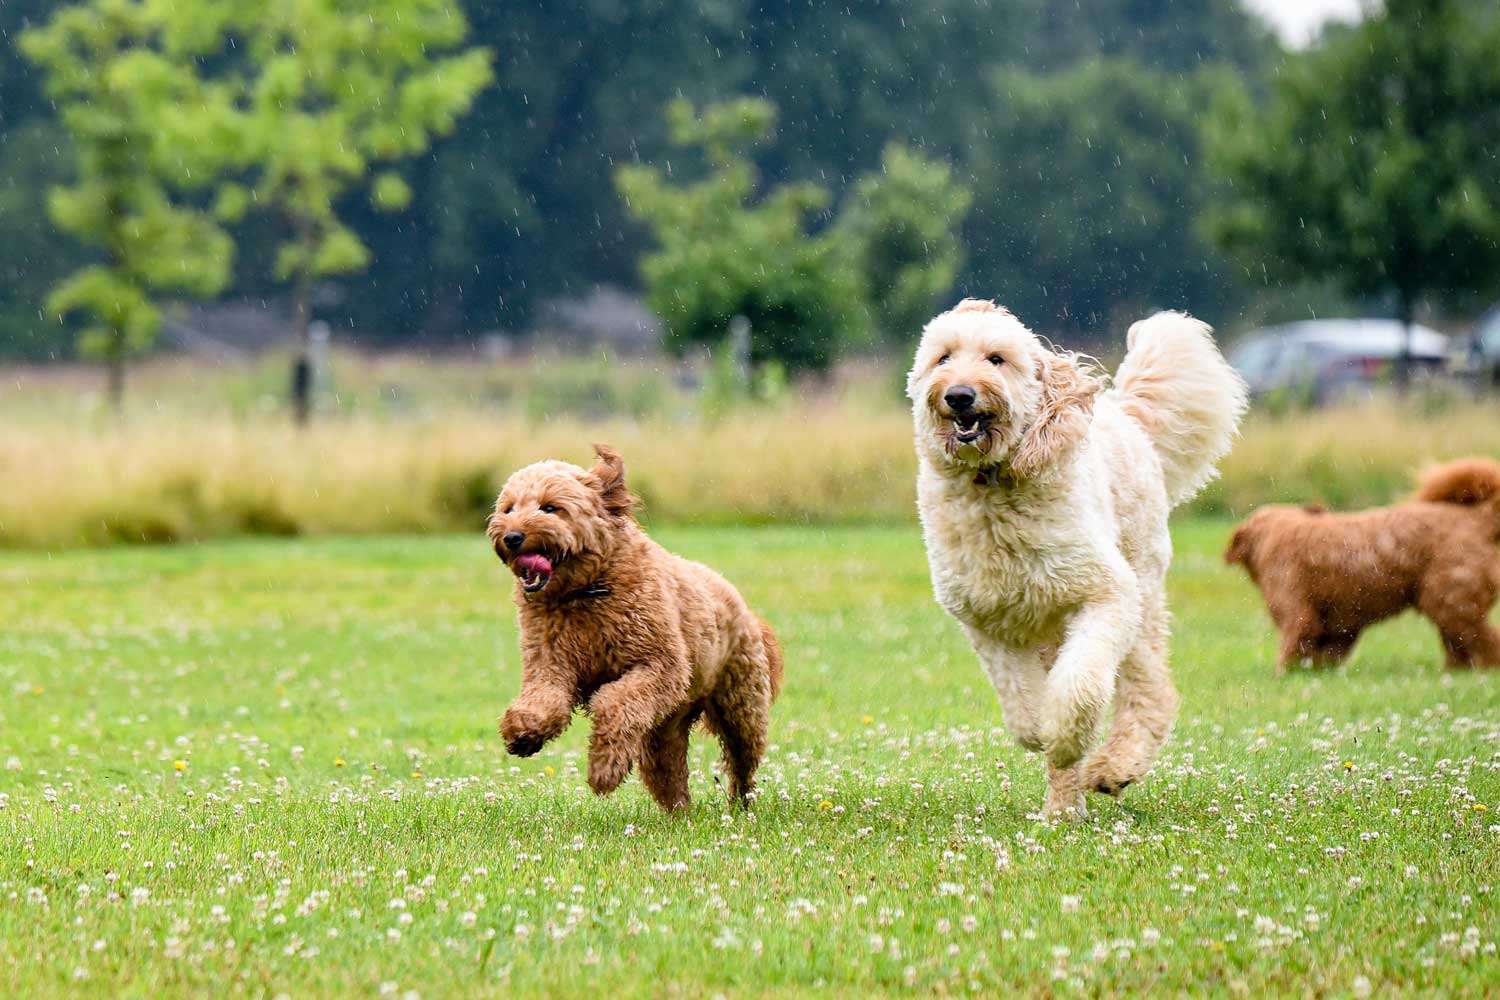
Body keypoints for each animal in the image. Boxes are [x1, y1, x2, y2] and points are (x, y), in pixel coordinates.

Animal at [489, 446, 786, 815]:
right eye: (509, 509)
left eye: (550, 507)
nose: (512, 537)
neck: (586, 591)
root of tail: (745, 610)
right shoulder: (550, 663)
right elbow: (544, 700)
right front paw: (524, 732)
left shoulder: (660, 666)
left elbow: (613, 702)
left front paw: (604, 769)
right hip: (666, 726)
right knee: (669, 771)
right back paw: (680, 814)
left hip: (740, 705)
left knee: (743, 760)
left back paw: (740, 806)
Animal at [906, 301, 1248, 815]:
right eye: (943, 357)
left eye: (997, 359)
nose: (959, 396)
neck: (993, 488)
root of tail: (1124, 412)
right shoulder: (987, 621)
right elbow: (1024, 706)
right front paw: (1045, 733)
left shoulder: (1105, 593)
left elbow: (1079, 685)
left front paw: (1067, 735)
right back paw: (1063, 811)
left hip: (1141, 592)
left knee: (1150, 689)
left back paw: (1114, 767)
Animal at [1224, 458, 1500, 671]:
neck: (1271, 534)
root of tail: (1478, 517)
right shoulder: (1337, 628)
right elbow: (1321, 655)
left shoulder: (1297, 614)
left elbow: (1291, 651)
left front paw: (1282, 674)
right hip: (1447, 607)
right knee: (1461, 645)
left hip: (1451, 602)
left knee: (1485, 641)